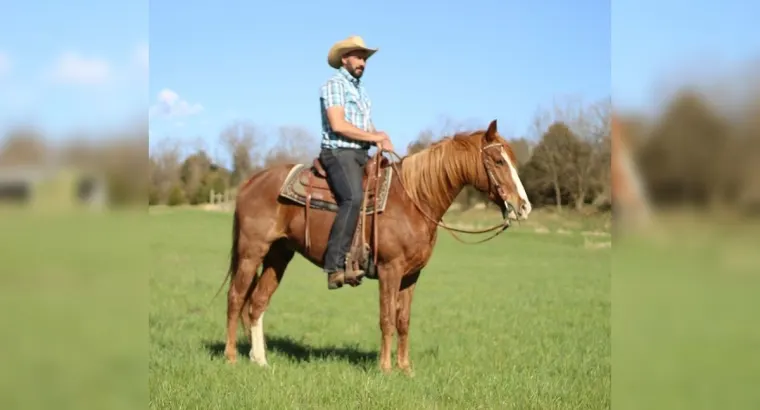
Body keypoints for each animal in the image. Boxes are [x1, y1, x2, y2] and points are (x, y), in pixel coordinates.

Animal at [219, 119, 532, 374]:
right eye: (498, 161)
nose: (523, 206)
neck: (413, 199)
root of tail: (251, 182)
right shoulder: (389, 270)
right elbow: (387, 319)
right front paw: (385, 368)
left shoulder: (411, 275)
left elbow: (403, 320)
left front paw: (405, 368)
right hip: (251, 252)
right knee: (236, 298)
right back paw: (231, 356)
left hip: (279, 255)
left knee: (257, 302)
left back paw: (260, 360)